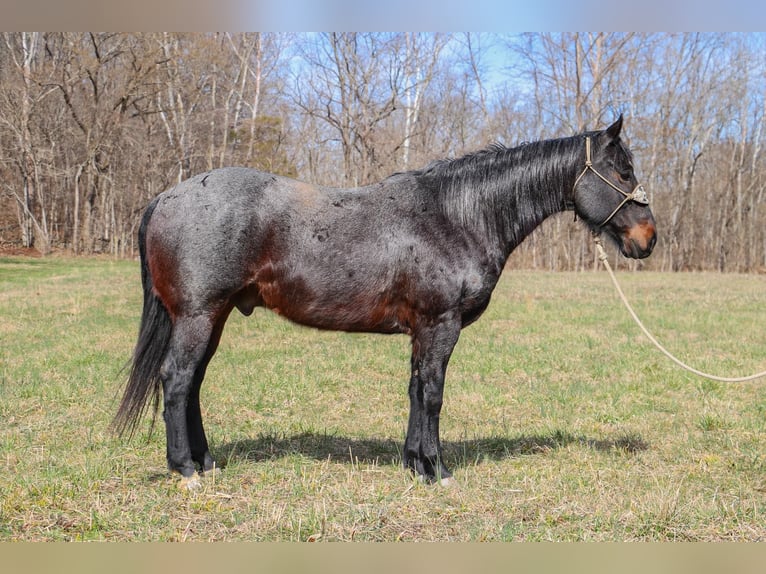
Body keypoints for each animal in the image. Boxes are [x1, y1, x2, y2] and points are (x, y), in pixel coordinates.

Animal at [114, 116, 660, 490]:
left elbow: (417, 391)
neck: (457, 216)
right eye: (622, 171)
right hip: (198, 316)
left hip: (215, 315)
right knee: (177, 380)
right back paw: (186, 470)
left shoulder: (423, 330)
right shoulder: (440, 325)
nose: (648, 238)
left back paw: (206, 462)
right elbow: (434, 394)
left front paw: (415, 464)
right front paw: (438, 470)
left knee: (193, 383)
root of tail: (165, 198)